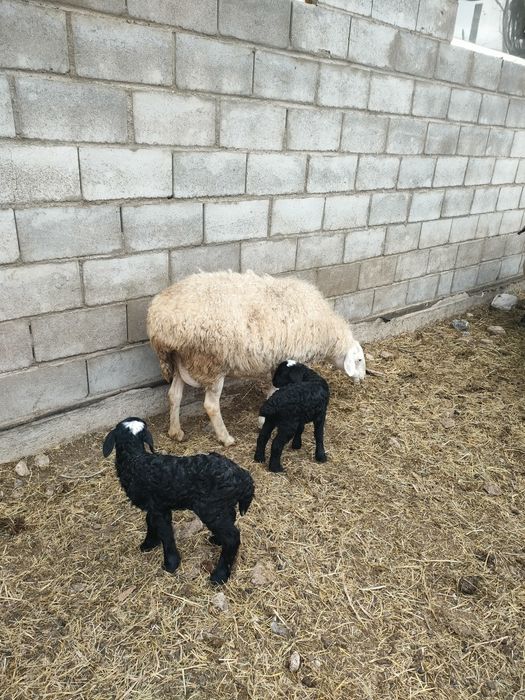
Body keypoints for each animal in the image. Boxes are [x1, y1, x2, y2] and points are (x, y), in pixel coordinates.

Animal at [102, 417, 254, 585]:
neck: (135, 460)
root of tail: (244, 477)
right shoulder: (157, 505)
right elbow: (150, 521)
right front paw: (149, 543)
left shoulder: (159, 509)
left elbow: (166, 533)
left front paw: (171, 563)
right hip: (222, 506)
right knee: (231, 521)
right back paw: (217, 540)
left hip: (210, 509)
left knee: (232, 537)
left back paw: (219, 575)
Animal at [147, 271, 366, 447]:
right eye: (359, 360)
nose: (363, 379)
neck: (328, 333)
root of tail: (159, 321)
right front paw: (263, 421)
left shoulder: (276, 364)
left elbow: (272, 389)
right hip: (210, 363)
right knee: (210, 405)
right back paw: (226, 438)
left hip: (181, 360)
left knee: (174, 395)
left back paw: (176, 432)